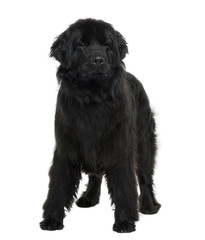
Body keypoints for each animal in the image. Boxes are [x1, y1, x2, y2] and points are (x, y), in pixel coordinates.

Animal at [40, 18, 161, 232]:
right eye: (81, 44)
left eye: (106, 45)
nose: (98, 60)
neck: (92, 96)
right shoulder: (66, 147)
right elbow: (58, 186)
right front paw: (52, 219)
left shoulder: (120, 148)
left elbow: (124, 186)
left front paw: (125, 221)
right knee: (95, 174)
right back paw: (89, 197)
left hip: (144, 141)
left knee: (145, 175)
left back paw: (148, 205)